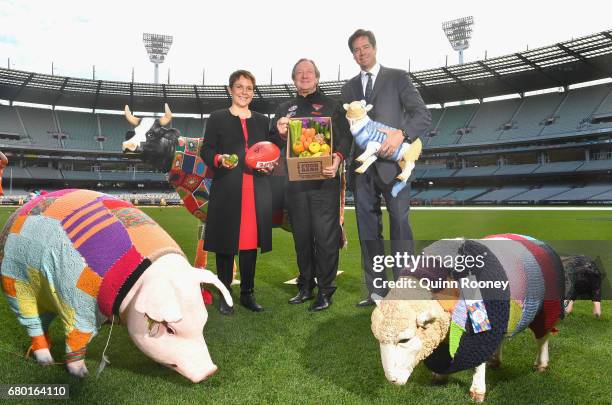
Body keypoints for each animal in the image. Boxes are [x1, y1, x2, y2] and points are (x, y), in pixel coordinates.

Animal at [0, 188, 233, 380]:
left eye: (203, 321)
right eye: (170, 329)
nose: (210, 371)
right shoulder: (77, 301)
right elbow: (77, 336)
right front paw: (81, 374)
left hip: (43, 292)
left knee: (44, 319)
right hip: (16, 281)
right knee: (32, 321)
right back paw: (46, 361)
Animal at [368, 234, 564, 400]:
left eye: (405, 340)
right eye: (377, 338)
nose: (392, 380)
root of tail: (537, 240)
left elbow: (477, 361)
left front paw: (477, 390)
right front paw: (440, 376)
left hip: (545, 308)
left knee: (542, 337)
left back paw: (541, 363)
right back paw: (495, 360)